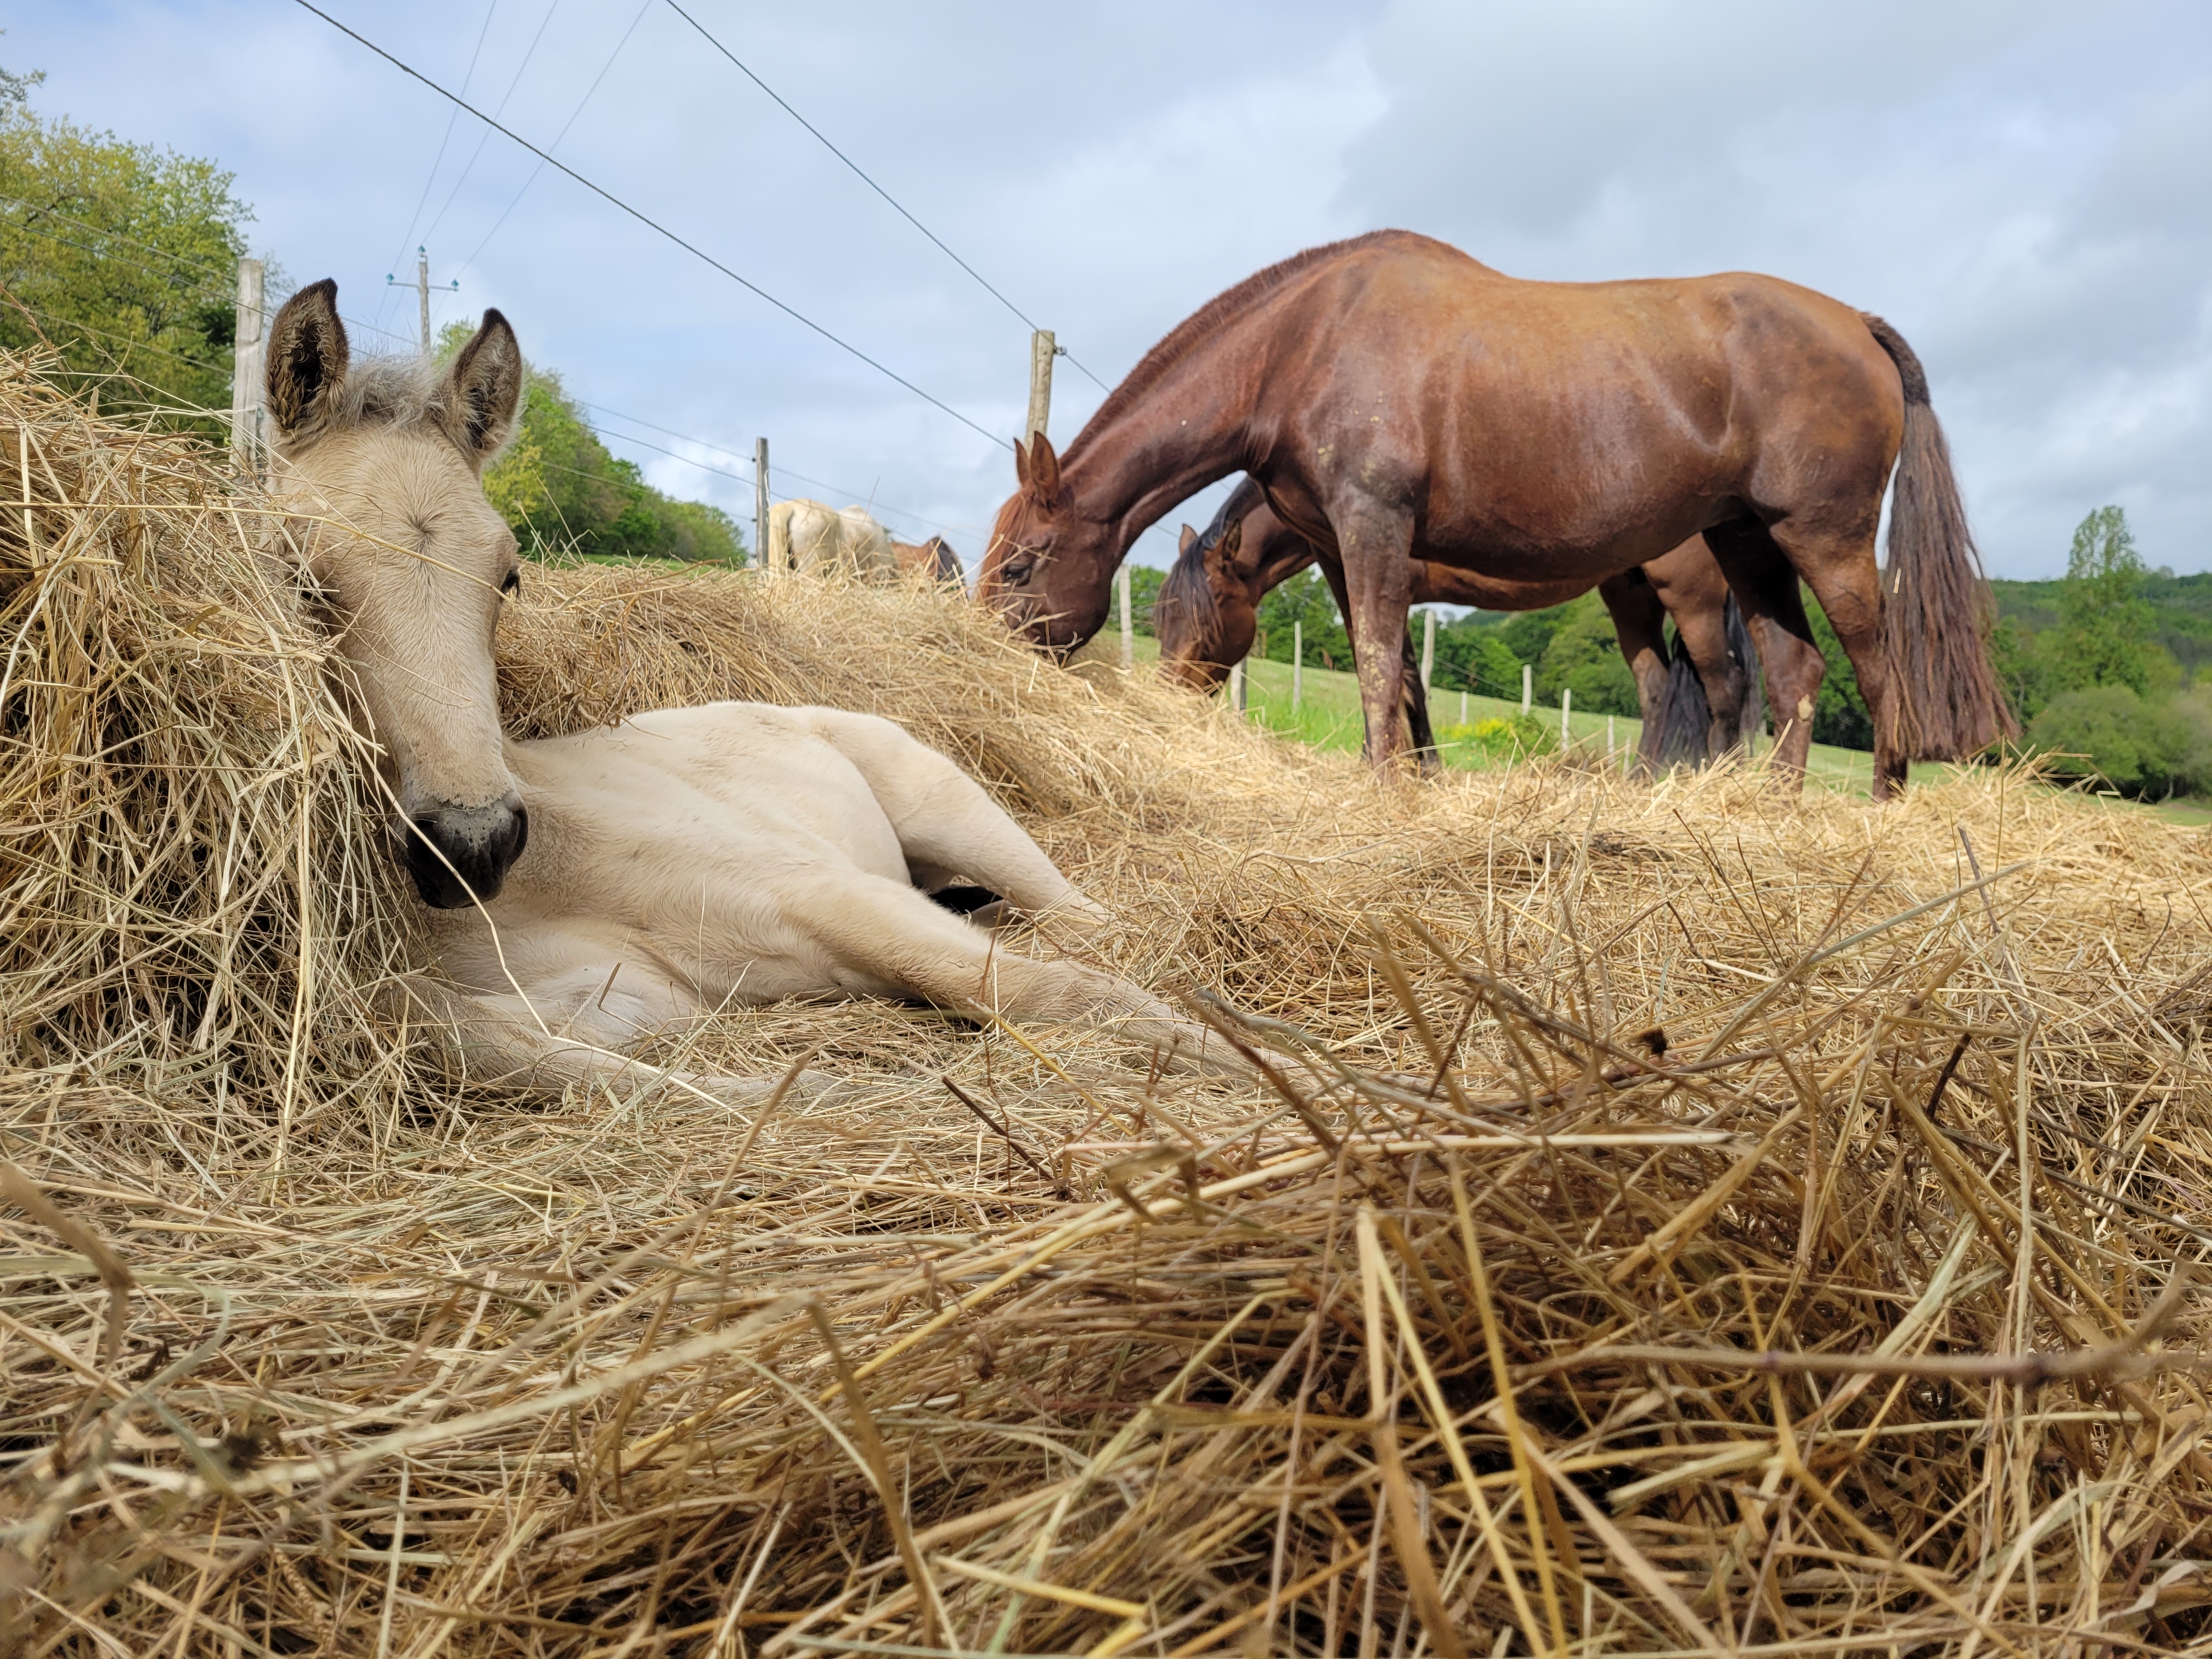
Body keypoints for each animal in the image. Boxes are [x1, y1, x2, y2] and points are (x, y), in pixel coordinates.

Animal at [1153, 477, 1763, 766]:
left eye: (1204, 621)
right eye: (1159, 615)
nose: (1165, 702)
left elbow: (1386, 676)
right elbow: (1404, 679)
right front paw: (1417, 766)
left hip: (1691, 598)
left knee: (1725, 690)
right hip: (1628, 595)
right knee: (1657, 692)